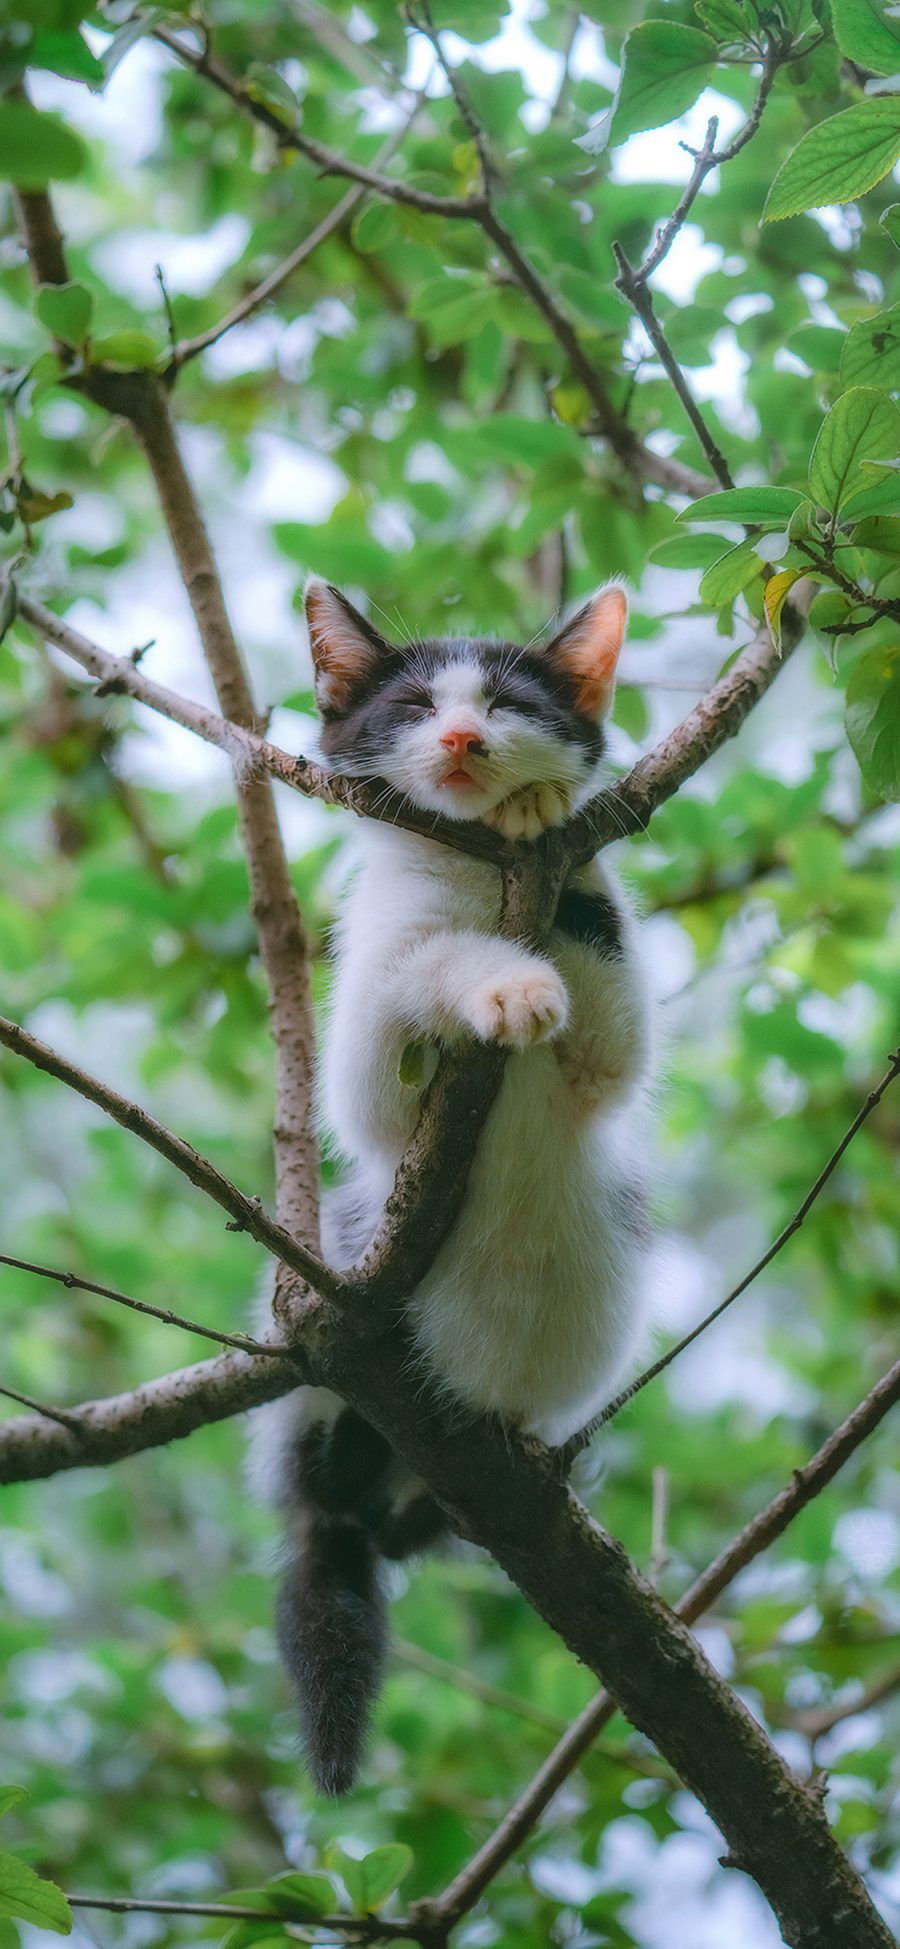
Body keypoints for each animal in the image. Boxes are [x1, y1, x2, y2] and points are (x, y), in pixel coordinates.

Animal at [262, 576, 650, 1793]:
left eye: (514, 703)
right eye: (417, 704)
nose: (467, 739)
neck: (476, 877)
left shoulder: (604, 1056)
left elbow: (610, 1035)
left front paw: (547, 818)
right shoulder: (368, 1044)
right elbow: (412, 983)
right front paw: (504, 983)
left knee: (395, 1529)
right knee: (332, 1500)